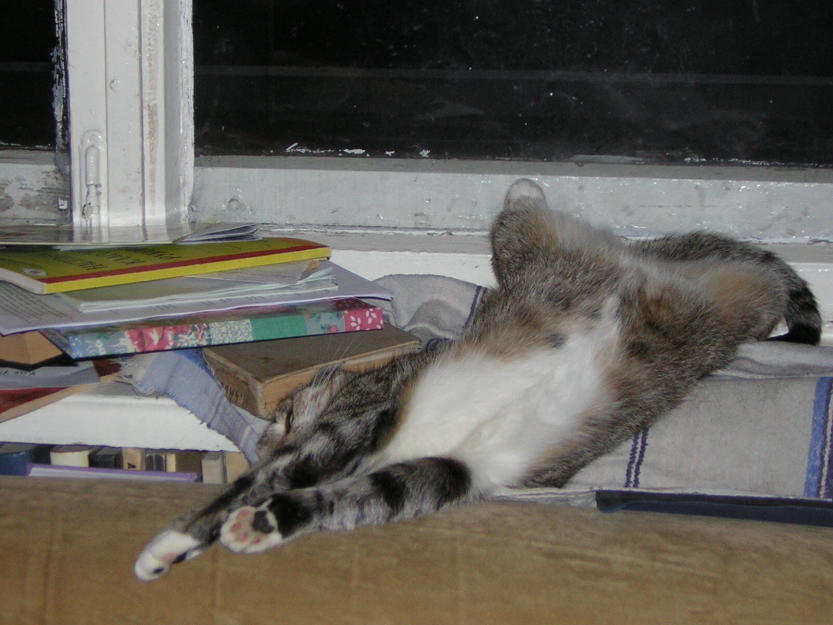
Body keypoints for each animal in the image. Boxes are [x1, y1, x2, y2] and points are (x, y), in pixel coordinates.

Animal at [135, 178, 820, 581]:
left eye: (279, 418)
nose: (265, 435)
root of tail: (640, 262)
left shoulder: (357, 419)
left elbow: (258, 483)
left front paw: (171, 541)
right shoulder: (449, 471)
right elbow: (357, 498)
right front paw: (265, 525)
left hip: (532, 246)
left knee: (520, 216)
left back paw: (523, 184)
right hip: (732, 299)